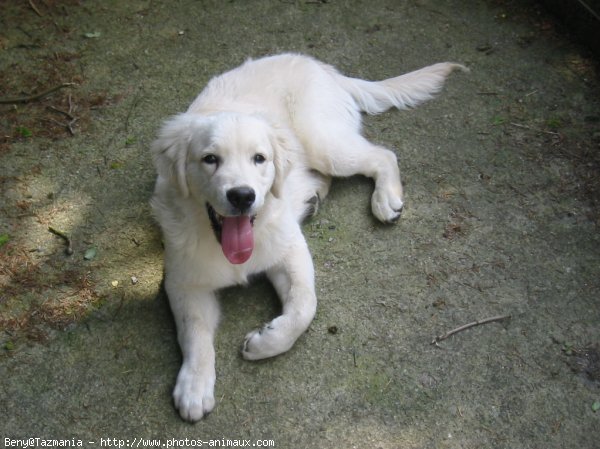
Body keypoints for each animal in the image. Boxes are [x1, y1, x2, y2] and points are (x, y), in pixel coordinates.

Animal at [150, 53, 464, 420]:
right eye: (209, 159)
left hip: (326, 143)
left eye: (259, 158)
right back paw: (313, 197)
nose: (242, 196)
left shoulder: (289, 249)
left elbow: (305, 305)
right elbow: (195, 331)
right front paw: (194, 386)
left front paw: (265, 342)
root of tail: (316, 64)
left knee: (383, 155)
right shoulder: (184, 281)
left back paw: (385, 199)